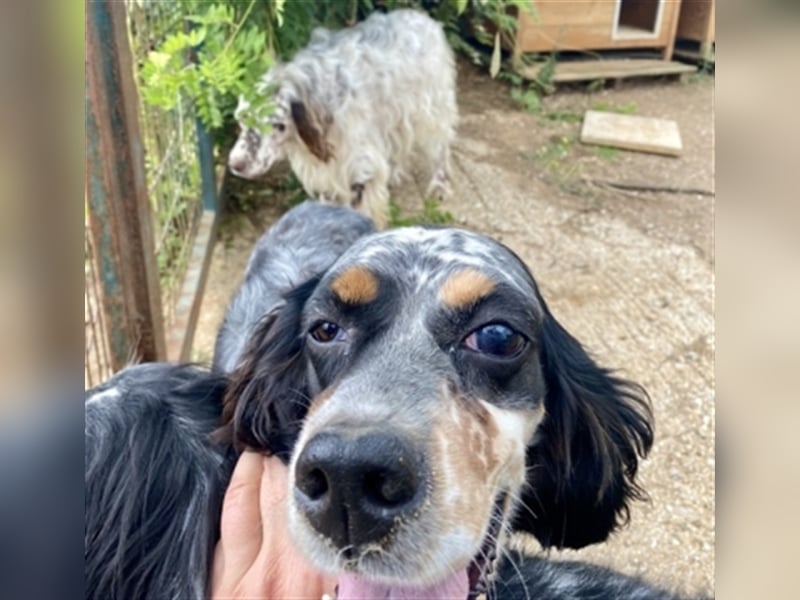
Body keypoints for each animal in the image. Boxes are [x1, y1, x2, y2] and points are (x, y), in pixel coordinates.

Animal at [228, 11, 460, 227]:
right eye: (241, 120)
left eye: (277, 126)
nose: (235, 165)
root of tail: (423, 18)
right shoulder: (329, 177)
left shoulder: (360, 172)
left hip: (431, 112)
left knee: (440, 149)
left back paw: (440, 185)